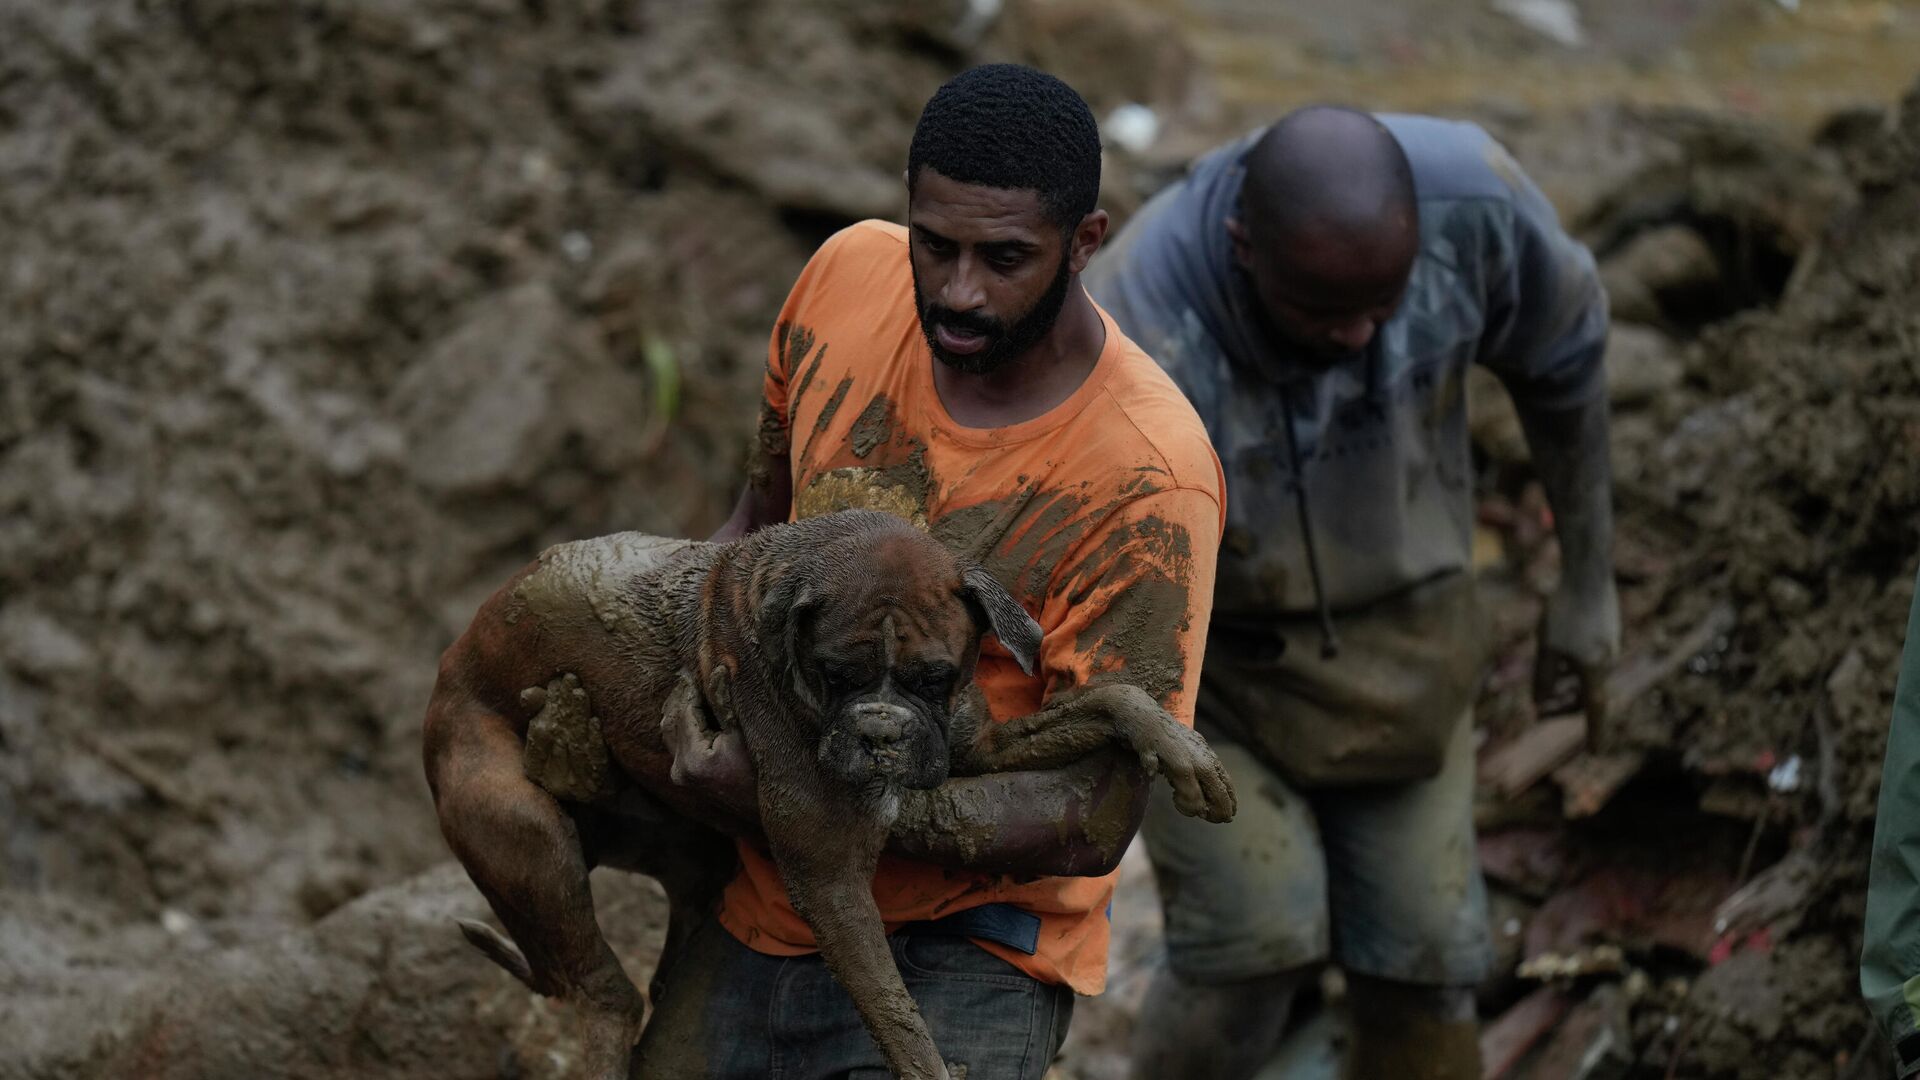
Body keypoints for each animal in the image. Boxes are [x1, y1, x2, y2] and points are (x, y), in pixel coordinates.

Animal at [424, 507, 1228, 1068]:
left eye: (933, 677)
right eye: (836, 674)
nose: (881, 732)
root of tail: (450, 661)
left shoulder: (981, 745)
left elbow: (1109, 697)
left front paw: (1179, 747)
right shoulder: (831, 877)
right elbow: (899, 1018)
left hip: (671, 844)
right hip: (524, 837)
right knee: (602, 992)